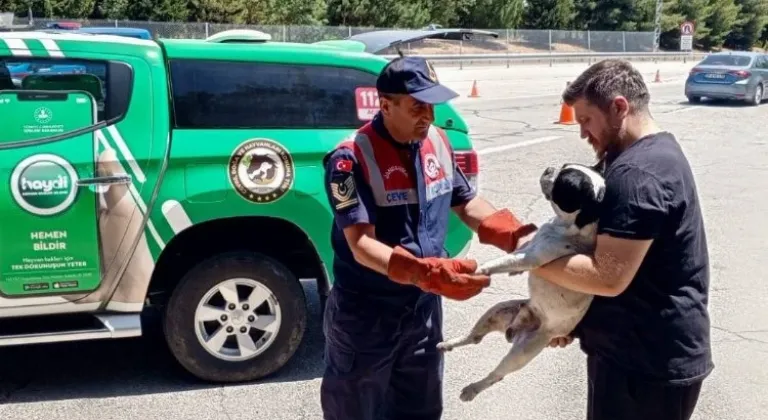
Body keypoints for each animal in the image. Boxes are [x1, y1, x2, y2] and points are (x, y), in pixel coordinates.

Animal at [438, 162, 608, 402]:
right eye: (564, 167)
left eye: (564, 181)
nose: (550, 168)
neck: (566, 225)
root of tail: (515, 329)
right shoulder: (529, 246)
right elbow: (517, 251)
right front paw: (512, 272)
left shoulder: (531, 258)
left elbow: (503, 261)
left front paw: (480, 269)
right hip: (497, 310)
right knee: (474, 337)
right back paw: (449, 343)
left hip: (522, 352)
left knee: (496, 375)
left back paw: (472, 389)